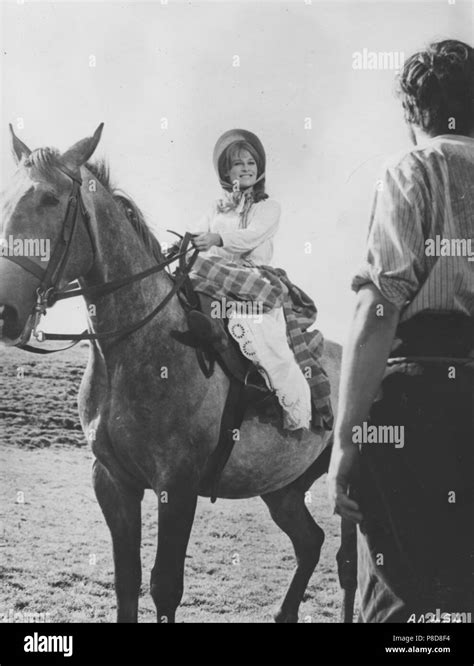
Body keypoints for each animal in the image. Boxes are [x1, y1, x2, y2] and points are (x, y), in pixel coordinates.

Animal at [0, 126, 356, 624]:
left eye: (50, 199)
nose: (5, 312)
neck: (132, 351)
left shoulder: (177, 487)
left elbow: (164, 586)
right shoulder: (113, 483)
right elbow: (126, 582)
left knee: (347, 566)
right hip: (283, 489)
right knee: (311, 543)